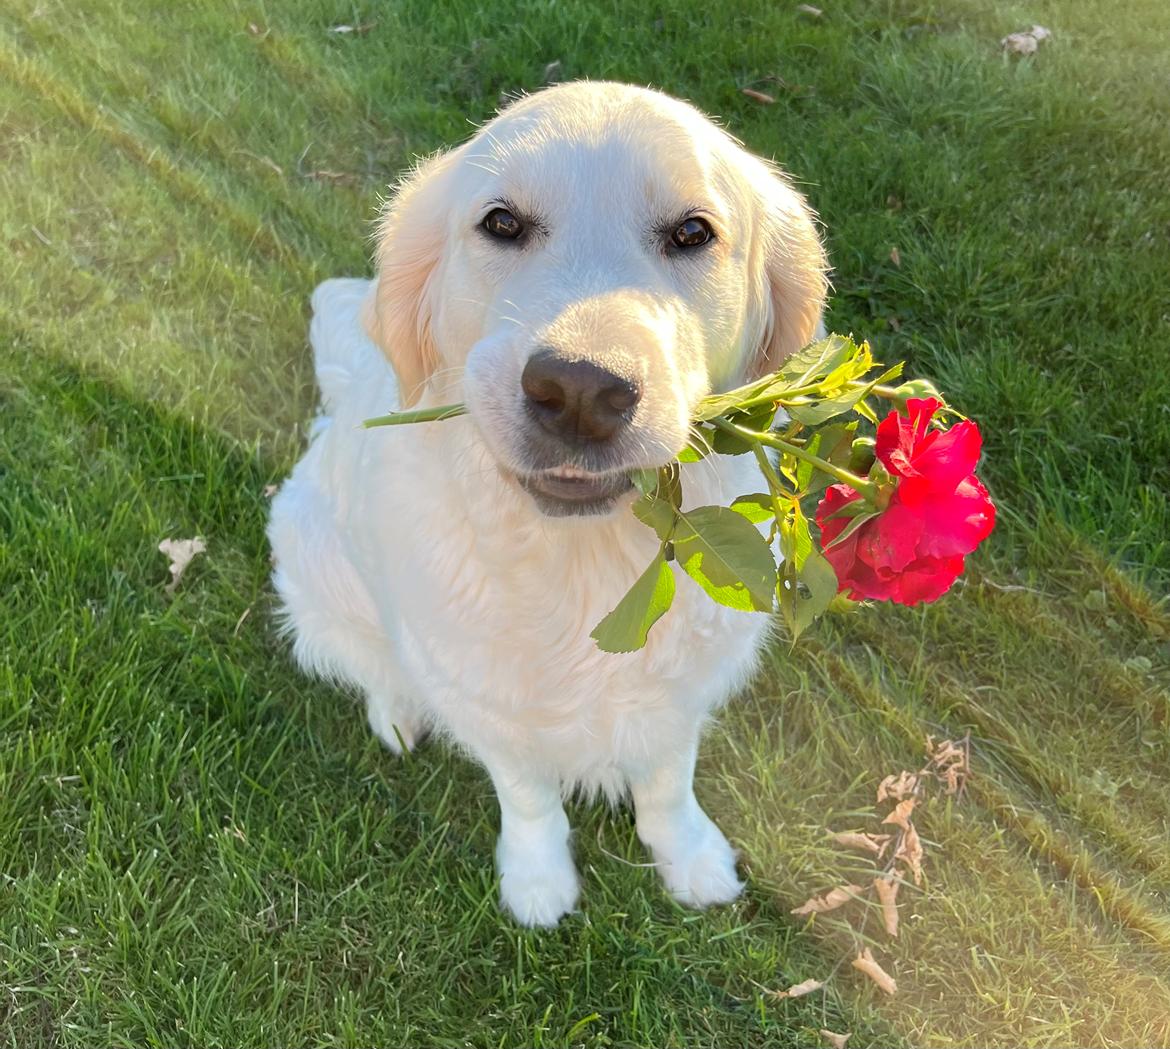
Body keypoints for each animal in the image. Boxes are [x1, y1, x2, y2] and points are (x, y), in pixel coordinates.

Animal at [269, 81, 828, 921]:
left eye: (693, 232)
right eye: (502, 223)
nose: (580, 391)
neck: (588, 563)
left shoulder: (679, 691)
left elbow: (668, 779)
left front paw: (689, 856)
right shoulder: (484, 694)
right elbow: (527, 792)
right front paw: (537, 880)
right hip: (309, 549)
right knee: (365, 658)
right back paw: (396, 710)